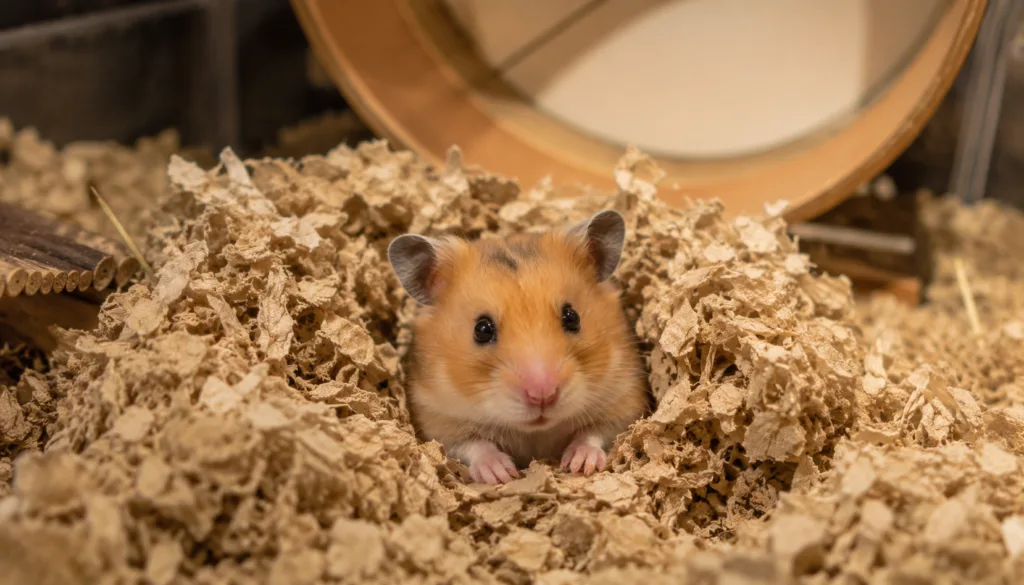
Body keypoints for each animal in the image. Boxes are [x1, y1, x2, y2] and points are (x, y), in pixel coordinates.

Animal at [387, 210, 647, 485]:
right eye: (482, 329)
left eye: (572, 317)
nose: (543, 395)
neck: (534, 432)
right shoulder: (437, 420)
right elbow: (475, 445)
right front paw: (502, 474)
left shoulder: (624, 399)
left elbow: (594, 432)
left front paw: (579, 464)